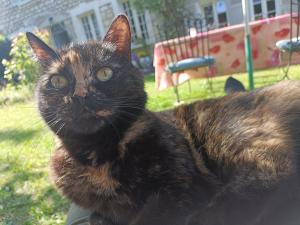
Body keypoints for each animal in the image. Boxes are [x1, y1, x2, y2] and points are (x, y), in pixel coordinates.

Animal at [27, 15, 298, 225]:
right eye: (58, 81)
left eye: (104, 73)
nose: (80, 95)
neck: (98, 155)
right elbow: (99, 215)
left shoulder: (179, 188)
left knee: (271, 178)